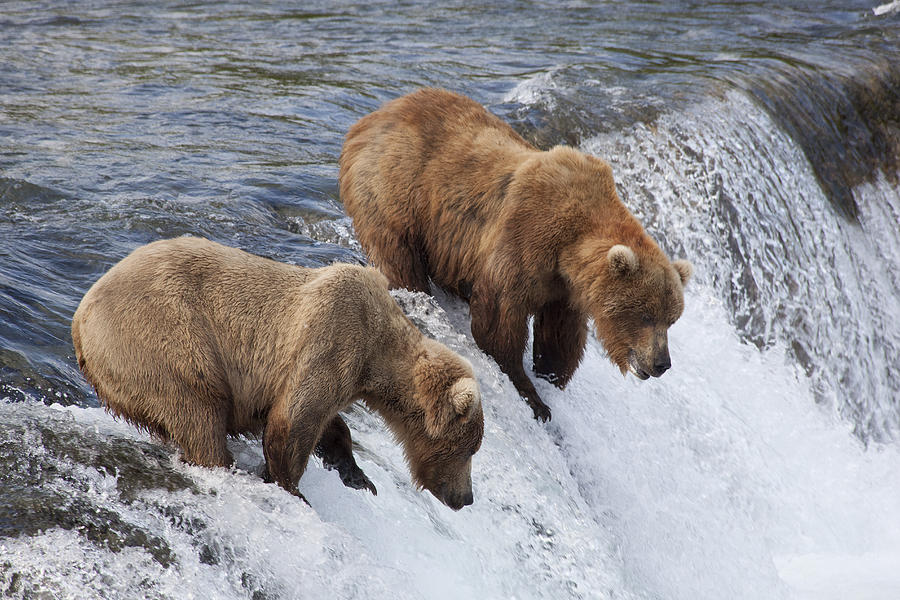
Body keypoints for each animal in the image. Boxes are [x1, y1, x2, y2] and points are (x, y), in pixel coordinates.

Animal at [71, 237, 486, 508]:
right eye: (469, 448)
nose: (466, 497)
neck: (377, 351)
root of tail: (79, 320)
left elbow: (327, 422)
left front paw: (357, 475)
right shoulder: (332, 337)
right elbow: (293, 421)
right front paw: (292, 488)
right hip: (163, 340)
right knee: (198, 410)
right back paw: (221, 463)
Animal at [342, 88, 692, 422]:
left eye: (672, 319)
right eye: (645, 315)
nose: (662, 363)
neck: (571, 244)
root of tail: (373, 117)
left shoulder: (563, 289)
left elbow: (560, 334)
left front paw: (550, 375)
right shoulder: (527, 237)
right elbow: (498, 319)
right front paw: (532, 395)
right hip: (396, 188)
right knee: (399, 255)